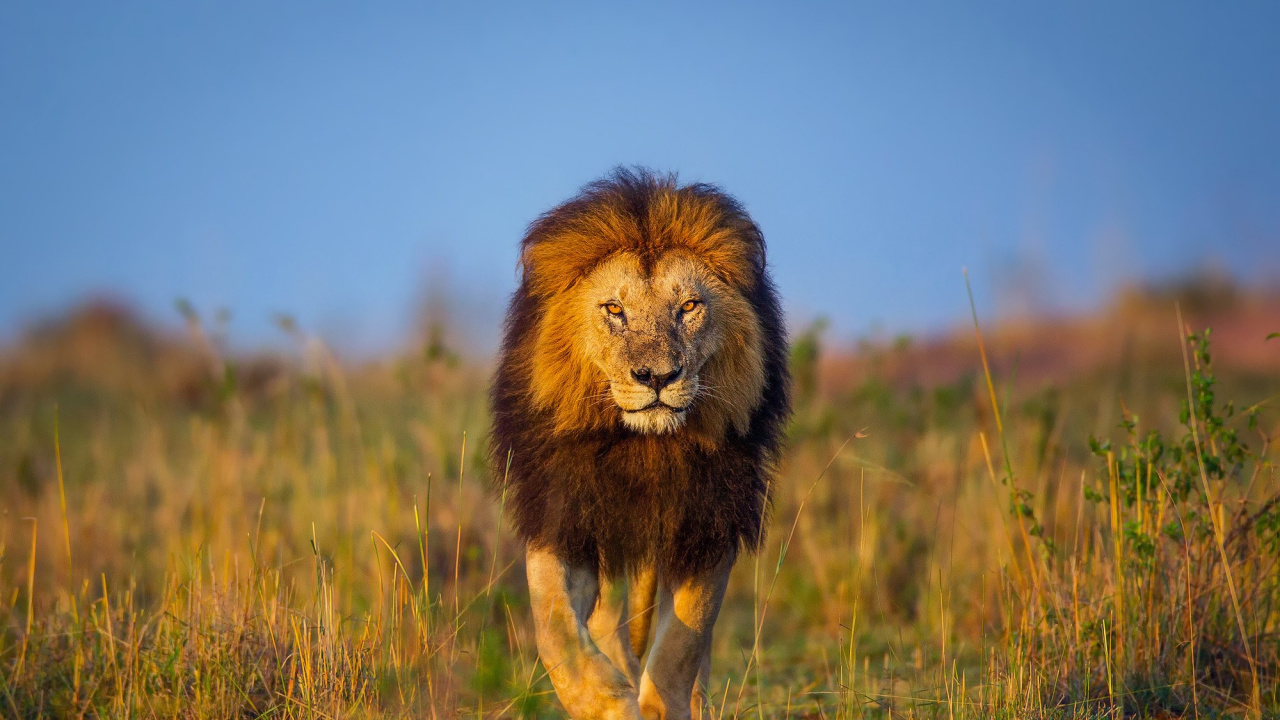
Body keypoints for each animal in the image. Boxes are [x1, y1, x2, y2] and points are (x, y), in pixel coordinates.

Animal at [490, 168, 791, 720]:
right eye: (614, 309)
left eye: (689, 306)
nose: (657, 377)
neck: (644, 448)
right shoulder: (566, 517)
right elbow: (553, 627)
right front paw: (606, 703)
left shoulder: (707, 522)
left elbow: (683, 643)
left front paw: (657, 707)